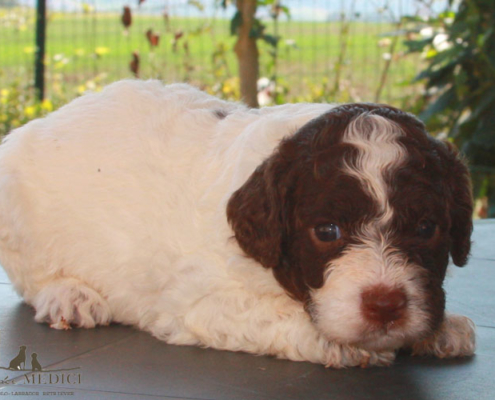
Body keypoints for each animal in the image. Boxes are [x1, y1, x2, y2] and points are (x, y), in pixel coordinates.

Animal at [0, 79, 476, 368]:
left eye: (427, 228)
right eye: (327, 232)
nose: (386, 305)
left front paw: (441, 328)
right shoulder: (198, 302)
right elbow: (275, 315)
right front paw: (342, 343)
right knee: (31, 277)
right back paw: (68, 296)